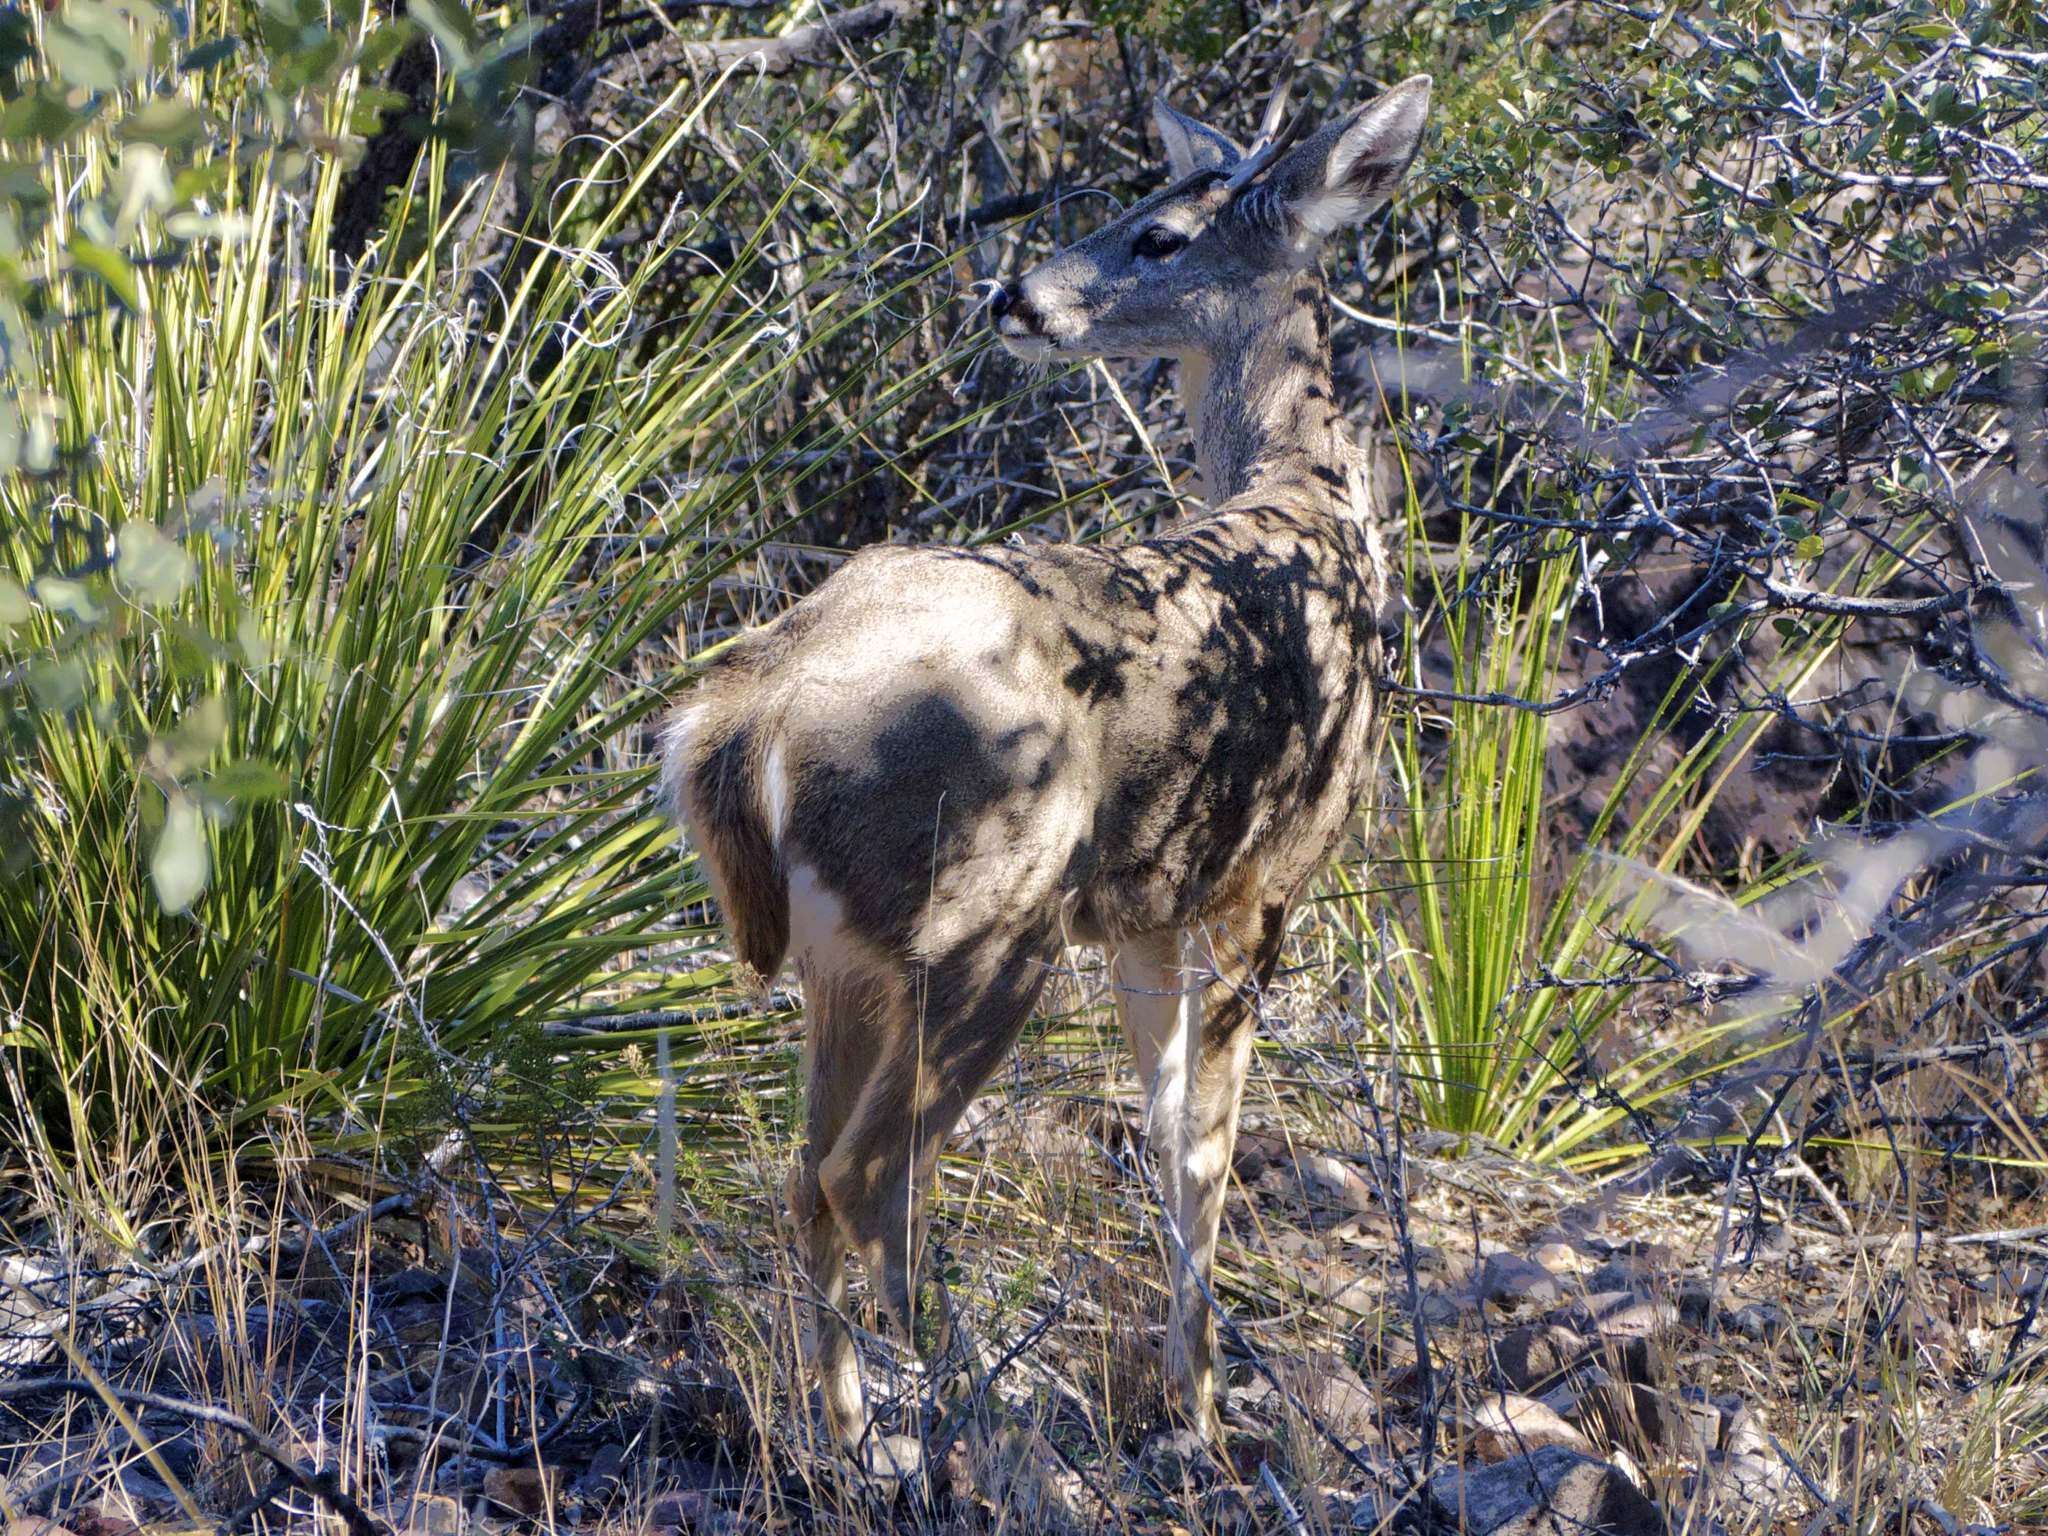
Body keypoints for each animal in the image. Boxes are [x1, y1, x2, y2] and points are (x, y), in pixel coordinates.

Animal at [663, 72, 1433, 1482]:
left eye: (1158, 234)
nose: (1012, 297)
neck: (1313, 504)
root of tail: (747, 707)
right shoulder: (1260, 885)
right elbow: (1202, 1156)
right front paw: (1196, 1413)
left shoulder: (1147, 909)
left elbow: (1164, 1127)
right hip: (985, 925)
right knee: (868, 1179)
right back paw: (981, 1424)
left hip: (844, 955)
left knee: (804, 1172)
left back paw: (841, 1432)